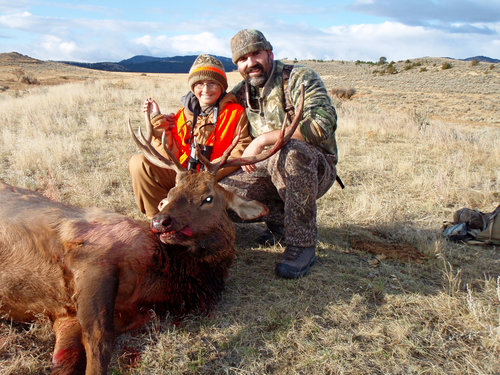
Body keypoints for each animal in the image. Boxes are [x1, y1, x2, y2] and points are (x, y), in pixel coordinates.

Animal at [0, 86, 304, 374]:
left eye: (208, 198)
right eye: (169, 194)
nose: (160, 222)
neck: (164, 280)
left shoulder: (68, 316)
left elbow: (68, 360)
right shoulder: (91, 257)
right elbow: (99, 344)